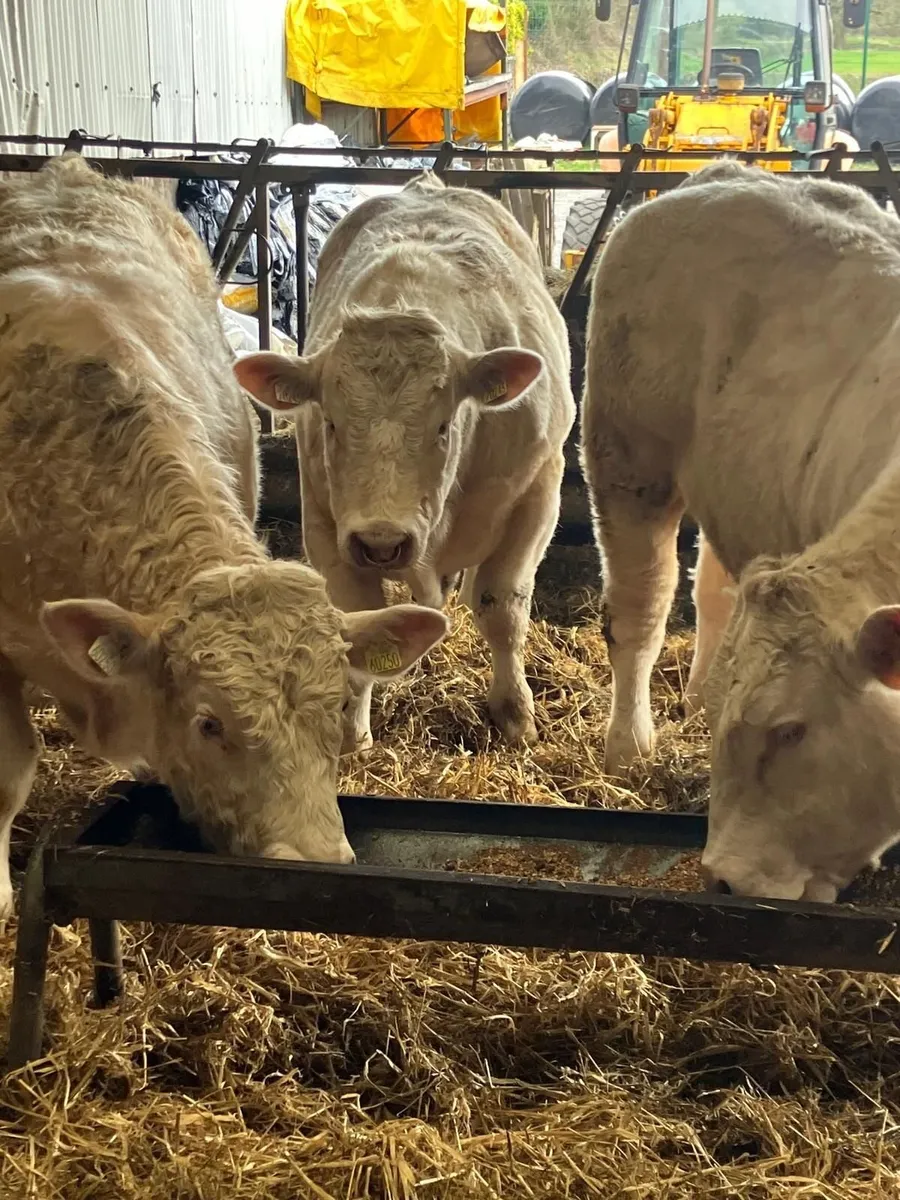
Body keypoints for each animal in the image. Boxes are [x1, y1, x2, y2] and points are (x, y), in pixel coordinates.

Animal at [236, 172, 575, 753]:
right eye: (330, 423)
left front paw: (514, 713)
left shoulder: (538, 493)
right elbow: (360, 624)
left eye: (443, 426)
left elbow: (502, 607)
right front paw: (351, 728)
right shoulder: (324, 521)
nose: (381, 542)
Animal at [581, 160, 900, 902]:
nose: (724, 879)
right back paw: (628, 746)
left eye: (791, 731)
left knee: (713, 589)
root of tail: (722, 172)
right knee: (642, 606)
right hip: (626, 461)